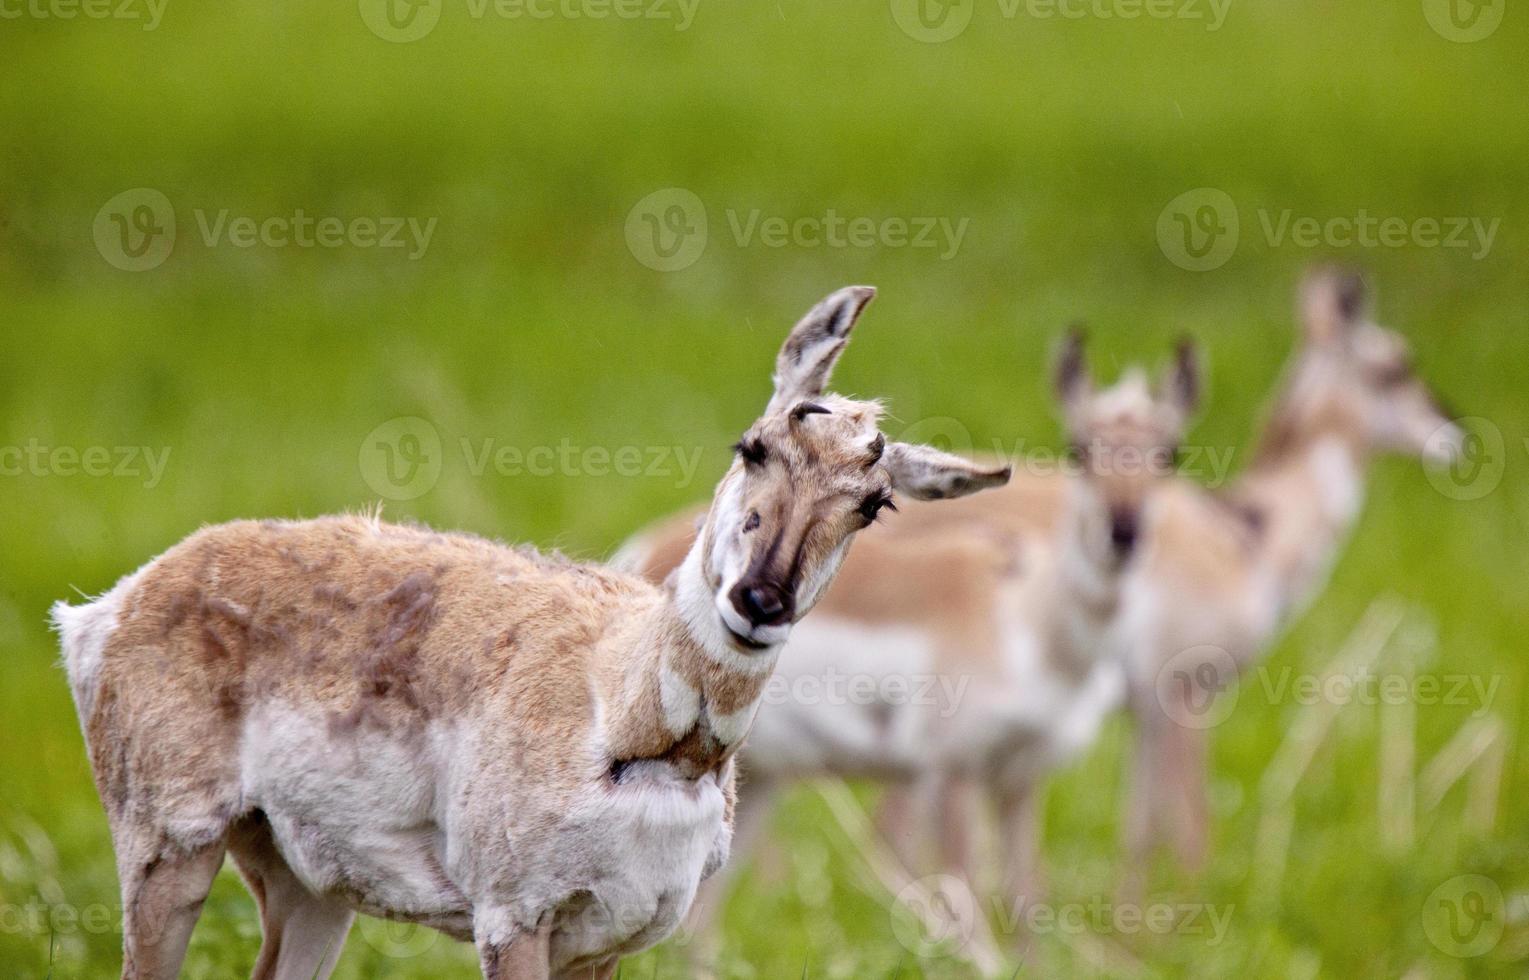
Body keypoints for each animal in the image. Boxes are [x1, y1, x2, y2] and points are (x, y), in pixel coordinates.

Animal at [50, 284, 1015, 978]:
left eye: (873, 504)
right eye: (753, 446)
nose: (759, 600)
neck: (620, 711)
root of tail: (118, 599)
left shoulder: (612, 939)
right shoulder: (511, 921)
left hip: (309, 886)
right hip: (167, 850)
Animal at [614, 330, 1198, 941]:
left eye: (1171, 453)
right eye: (1079, 449)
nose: (1123, 532)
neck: (1028, 621)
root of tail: (644, 549)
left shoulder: (1019, 779)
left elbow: (1026, 898)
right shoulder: (951, 775)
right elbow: (964, 896)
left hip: (764, 779)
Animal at [1125, 267, 1467, 880]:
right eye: (1398, 365)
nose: (1457, 435)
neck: (1246, 531)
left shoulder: (1148, 713)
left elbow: (1142, 834)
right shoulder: (1186, 695)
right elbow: (1187, 831)